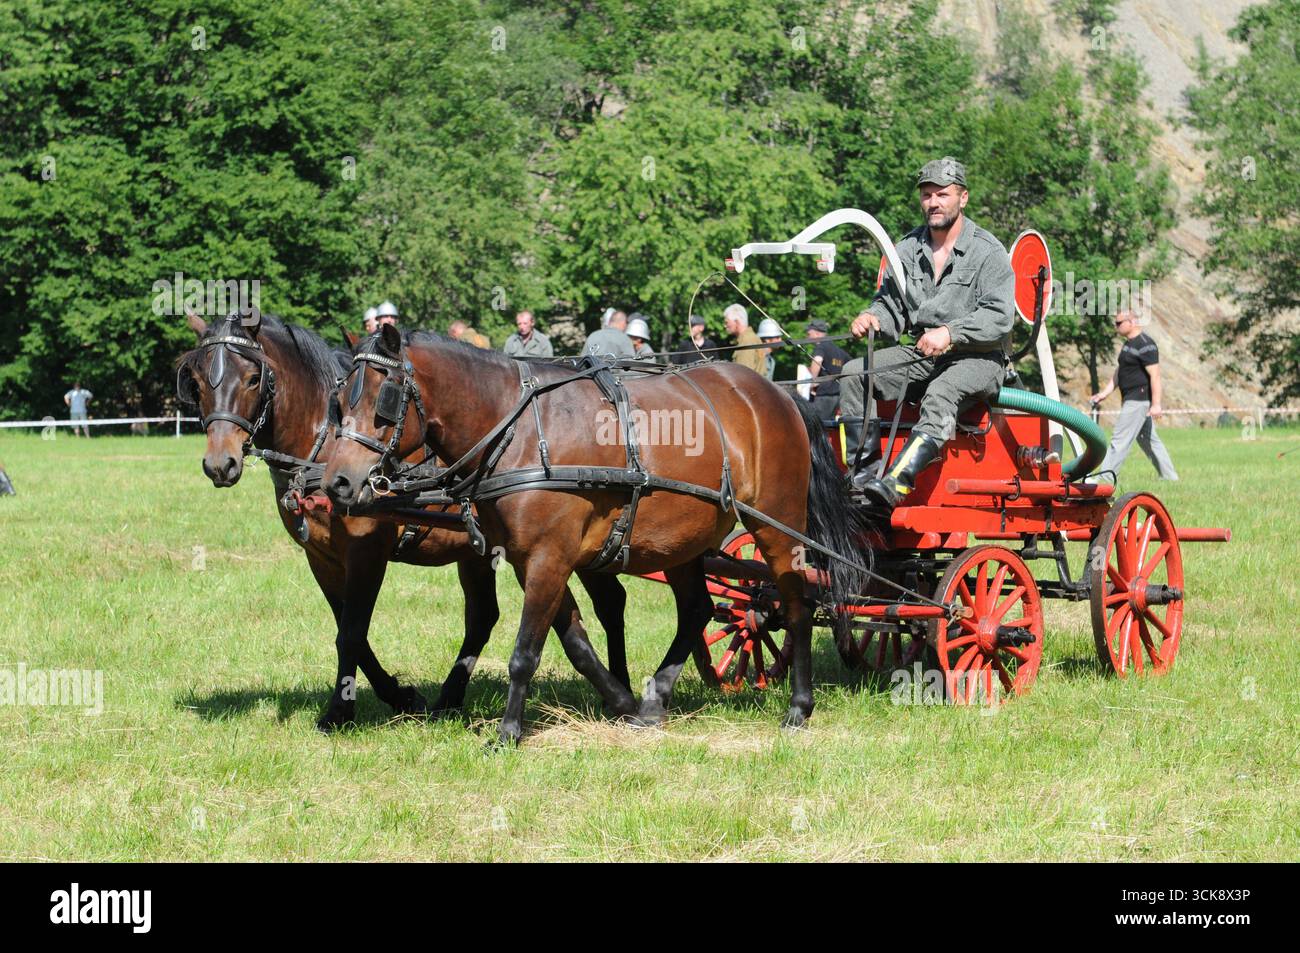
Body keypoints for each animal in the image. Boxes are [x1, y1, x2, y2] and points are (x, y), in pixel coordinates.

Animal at [176, 311, 632, 730]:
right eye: (195, 380)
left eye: (253, 378)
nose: (220, 463)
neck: (325, 443)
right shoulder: (321, 558)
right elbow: (350, 631)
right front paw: (399, 696)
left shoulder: (366, 553)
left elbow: (351, 632)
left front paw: (341, 711)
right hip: (479, 553)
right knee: (485, 617)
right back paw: (451, 698)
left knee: (610, 603)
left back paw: (621, 689)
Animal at [321, 324, 866, 744]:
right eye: (338, 400)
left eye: (384, 399)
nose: (337, 482)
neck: (517, 430)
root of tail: (779, 395)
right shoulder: (532, 560)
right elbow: (577, 644)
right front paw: (623, 703)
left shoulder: (549, 557)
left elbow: (525, 652)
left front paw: (508, 732)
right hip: (684, 539)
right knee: (697, 609)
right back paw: (655, 697)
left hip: (777, 524)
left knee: (795, 605)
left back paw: (798, 707)